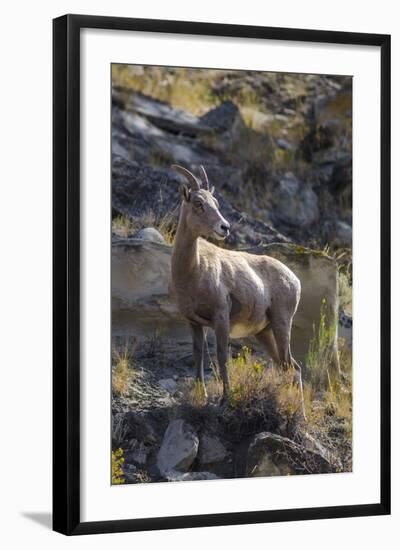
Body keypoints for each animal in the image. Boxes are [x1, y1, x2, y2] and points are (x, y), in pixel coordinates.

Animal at [170, 166, 304, 416]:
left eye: (216, 203)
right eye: (198, 203)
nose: (225, 227)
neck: (193, 270)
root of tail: (295, 280)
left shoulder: (221, 316)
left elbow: (222, 356)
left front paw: (225, 400)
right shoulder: (194, 322)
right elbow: (198, 356)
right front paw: (202, 397)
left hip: (281, 324)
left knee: (292, 367)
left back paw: (299, 414)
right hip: (264, 333)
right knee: (287, 367)